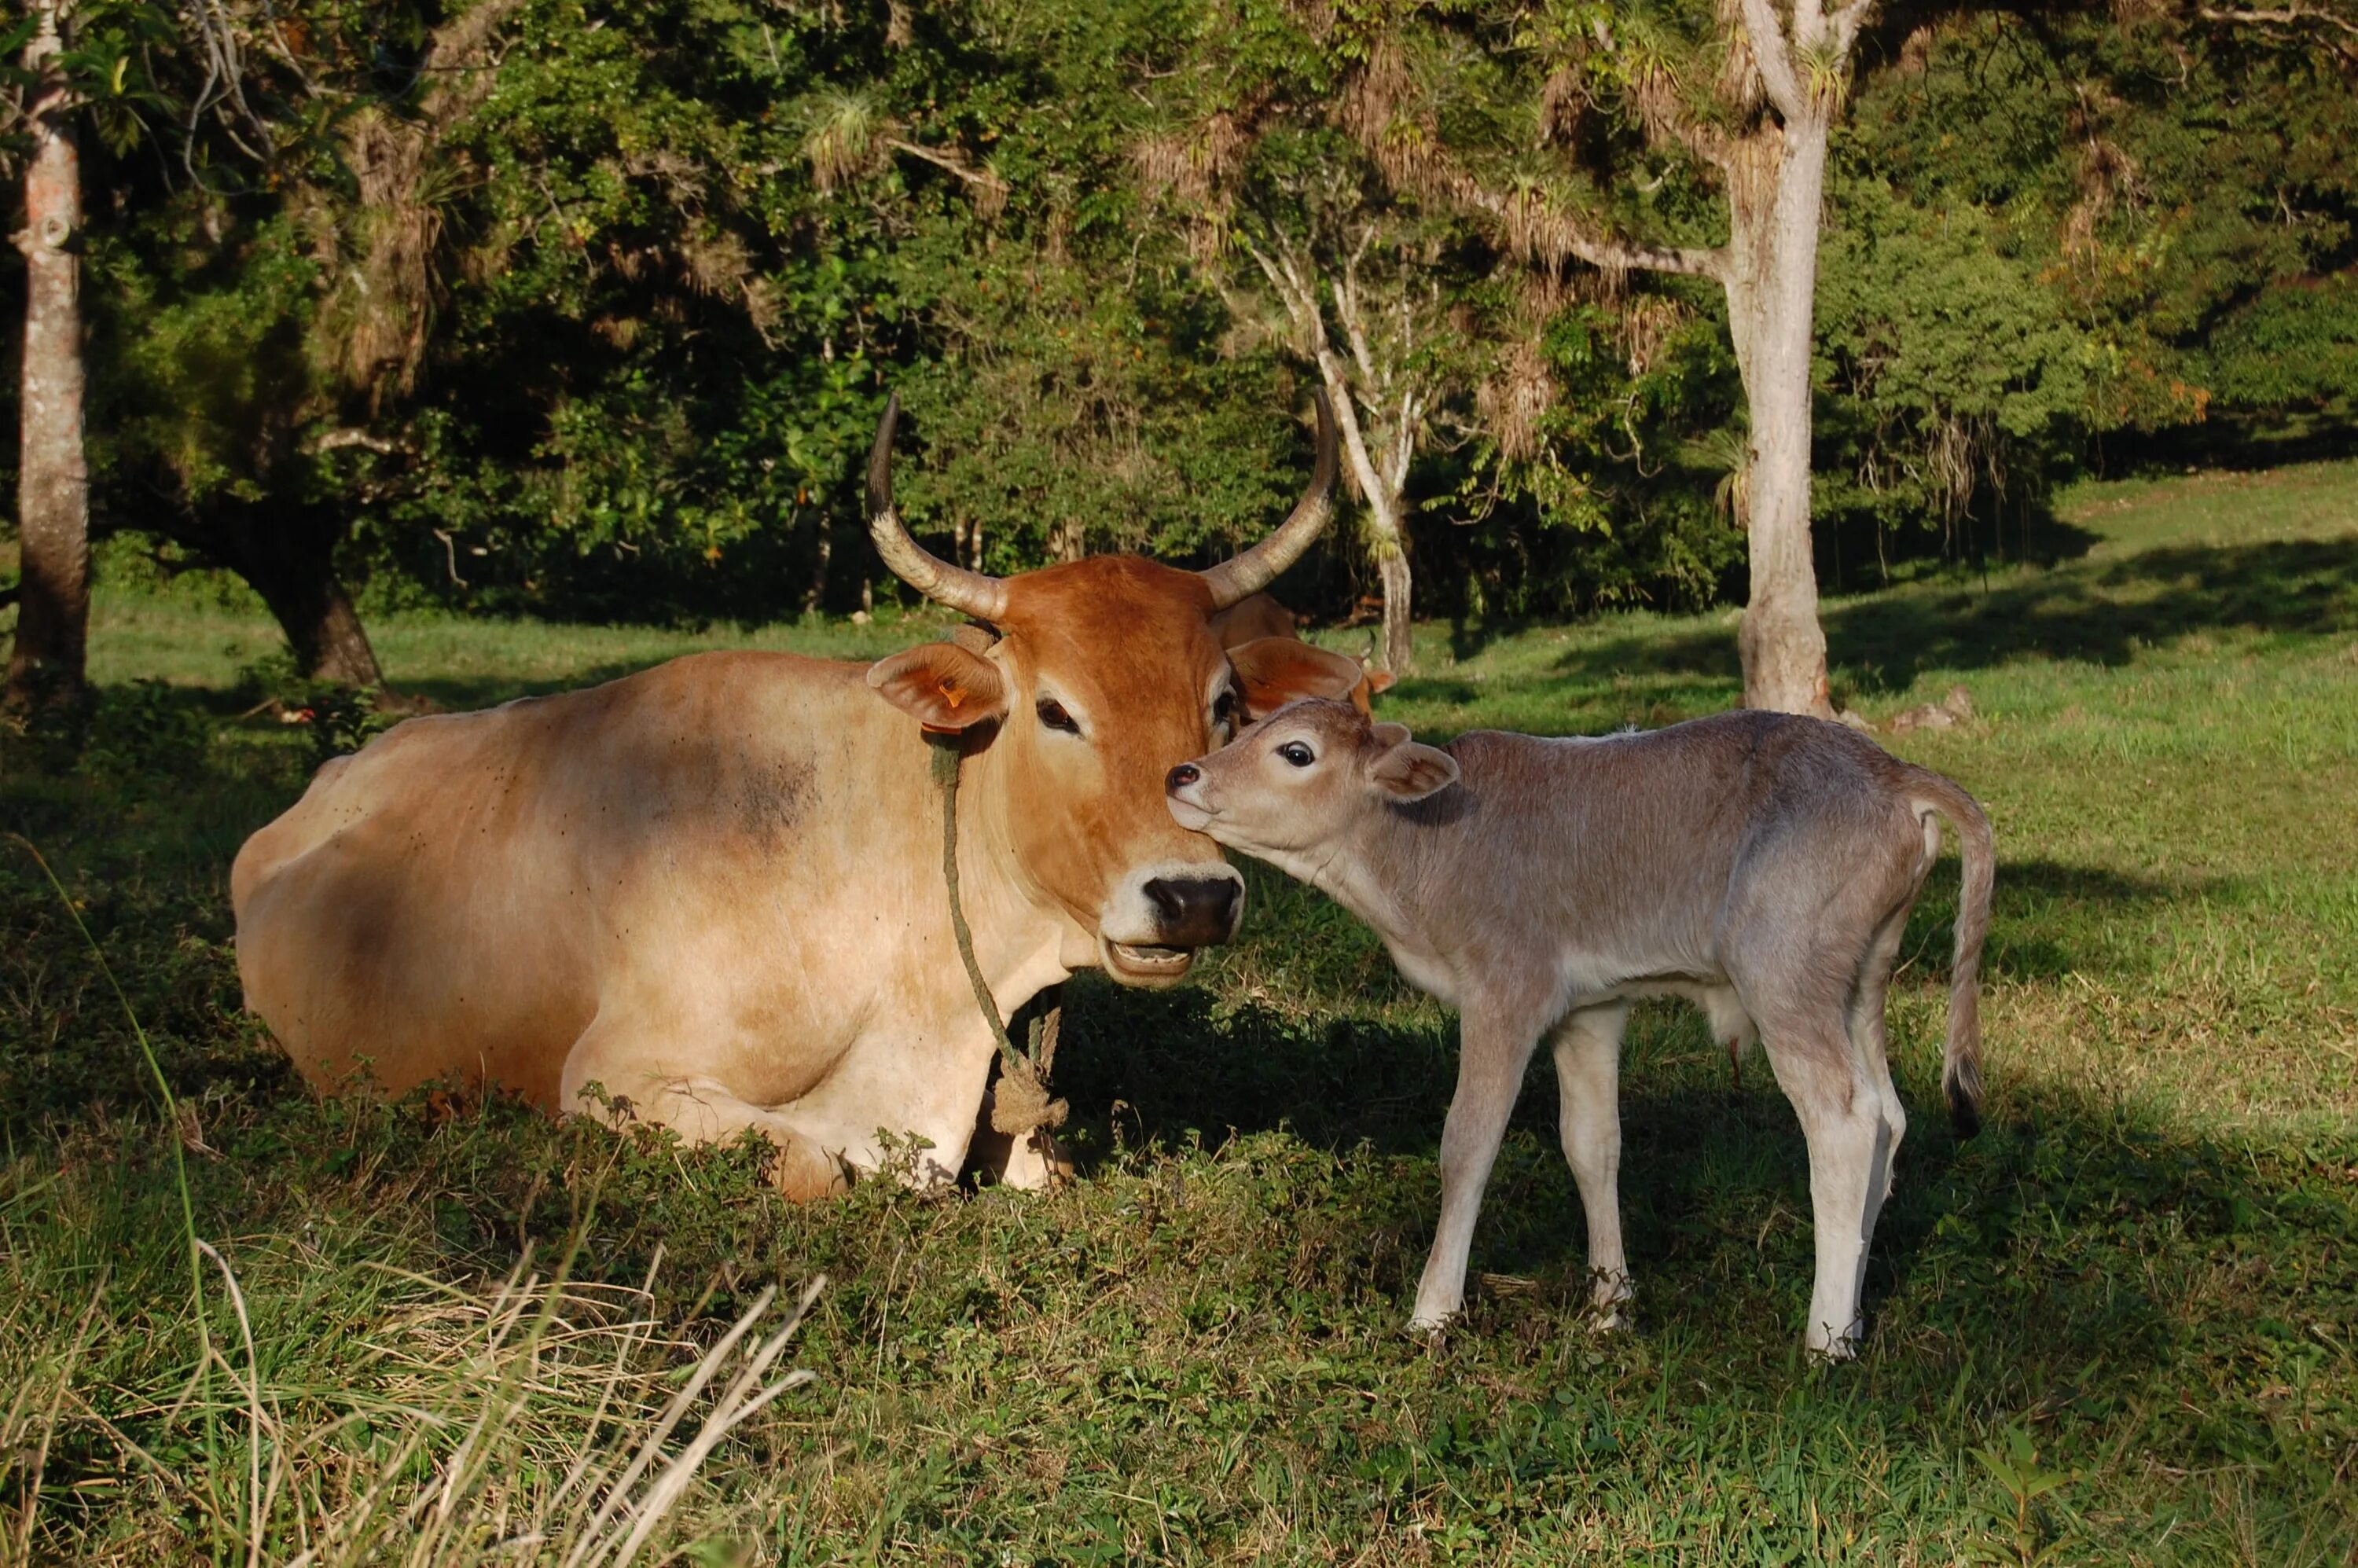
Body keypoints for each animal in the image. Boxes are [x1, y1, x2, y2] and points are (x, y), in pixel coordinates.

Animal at [1165, 698, 1990, 1358]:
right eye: (1241, 726)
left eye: (1296, 752)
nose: (1181, 774)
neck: (1423, 852)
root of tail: (1890, 769)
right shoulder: (1588, 1009)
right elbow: (1592, 1145)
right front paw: (1610, 1304)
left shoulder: (1507, 989)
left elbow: (1468, 1143)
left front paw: (1432, 1312)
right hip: (1858, 981)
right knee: (1888, 1117)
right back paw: (1854, 1313)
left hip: (1785, 973)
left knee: (1843, 1121)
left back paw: (1826, 1335)